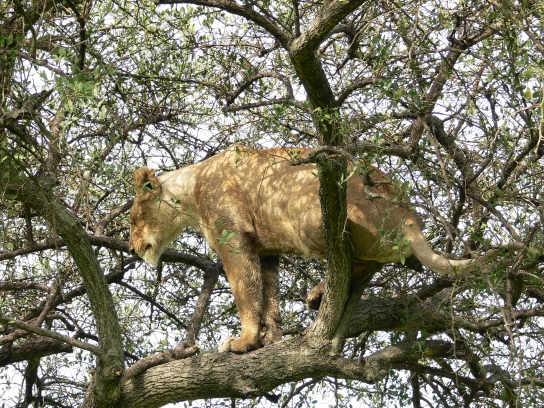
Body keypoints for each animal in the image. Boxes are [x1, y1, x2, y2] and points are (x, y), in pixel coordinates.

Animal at [128, 146, 518, 353]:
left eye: (133, 218)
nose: (132, 248)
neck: (189, 191)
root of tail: (409, 215)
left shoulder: (234, 239)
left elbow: (245, 290)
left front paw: (243, 341)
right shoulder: (267, 249)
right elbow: (270, 296)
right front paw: (270, 340)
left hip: (313, 213)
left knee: (348, 257)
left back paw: (319, 293)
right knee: (366, 265)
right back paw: (320, 296)